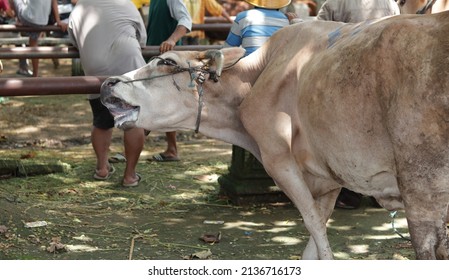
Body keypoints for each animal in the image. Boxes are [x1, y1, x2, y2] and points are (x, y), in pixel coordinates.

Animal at [101, 12, 448, 260]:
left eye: (167, 61)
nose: (108, 82)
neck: (257, 77)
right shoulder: (329, 176)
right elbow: (316, 236)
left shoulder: (279, 160)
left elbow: (315, 230)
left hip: (421, 183)